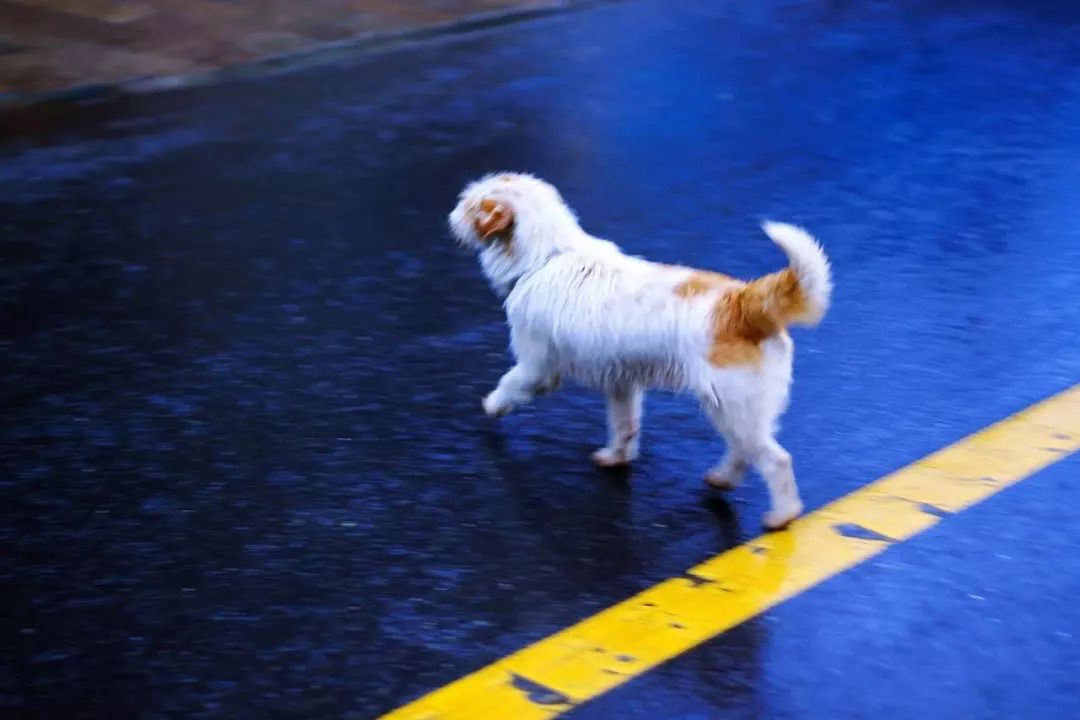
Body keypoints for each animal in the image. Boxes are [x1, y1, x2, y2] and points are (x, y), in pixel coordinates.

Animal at [449, 171, 833, 526]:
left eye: (471, 205)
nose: (452, 213)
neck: (547, 255)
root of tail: (743, 301)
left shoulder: (537, 367)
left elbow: (510, 383)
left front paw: (492, 406)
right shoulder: (622, 383)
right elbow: (624, 425)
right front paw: (616, 457)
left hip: (733, 407)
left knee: (774, 459)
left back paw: (781, 516)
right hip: (737, 411)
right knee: (744, 451)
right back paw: (722, 480)